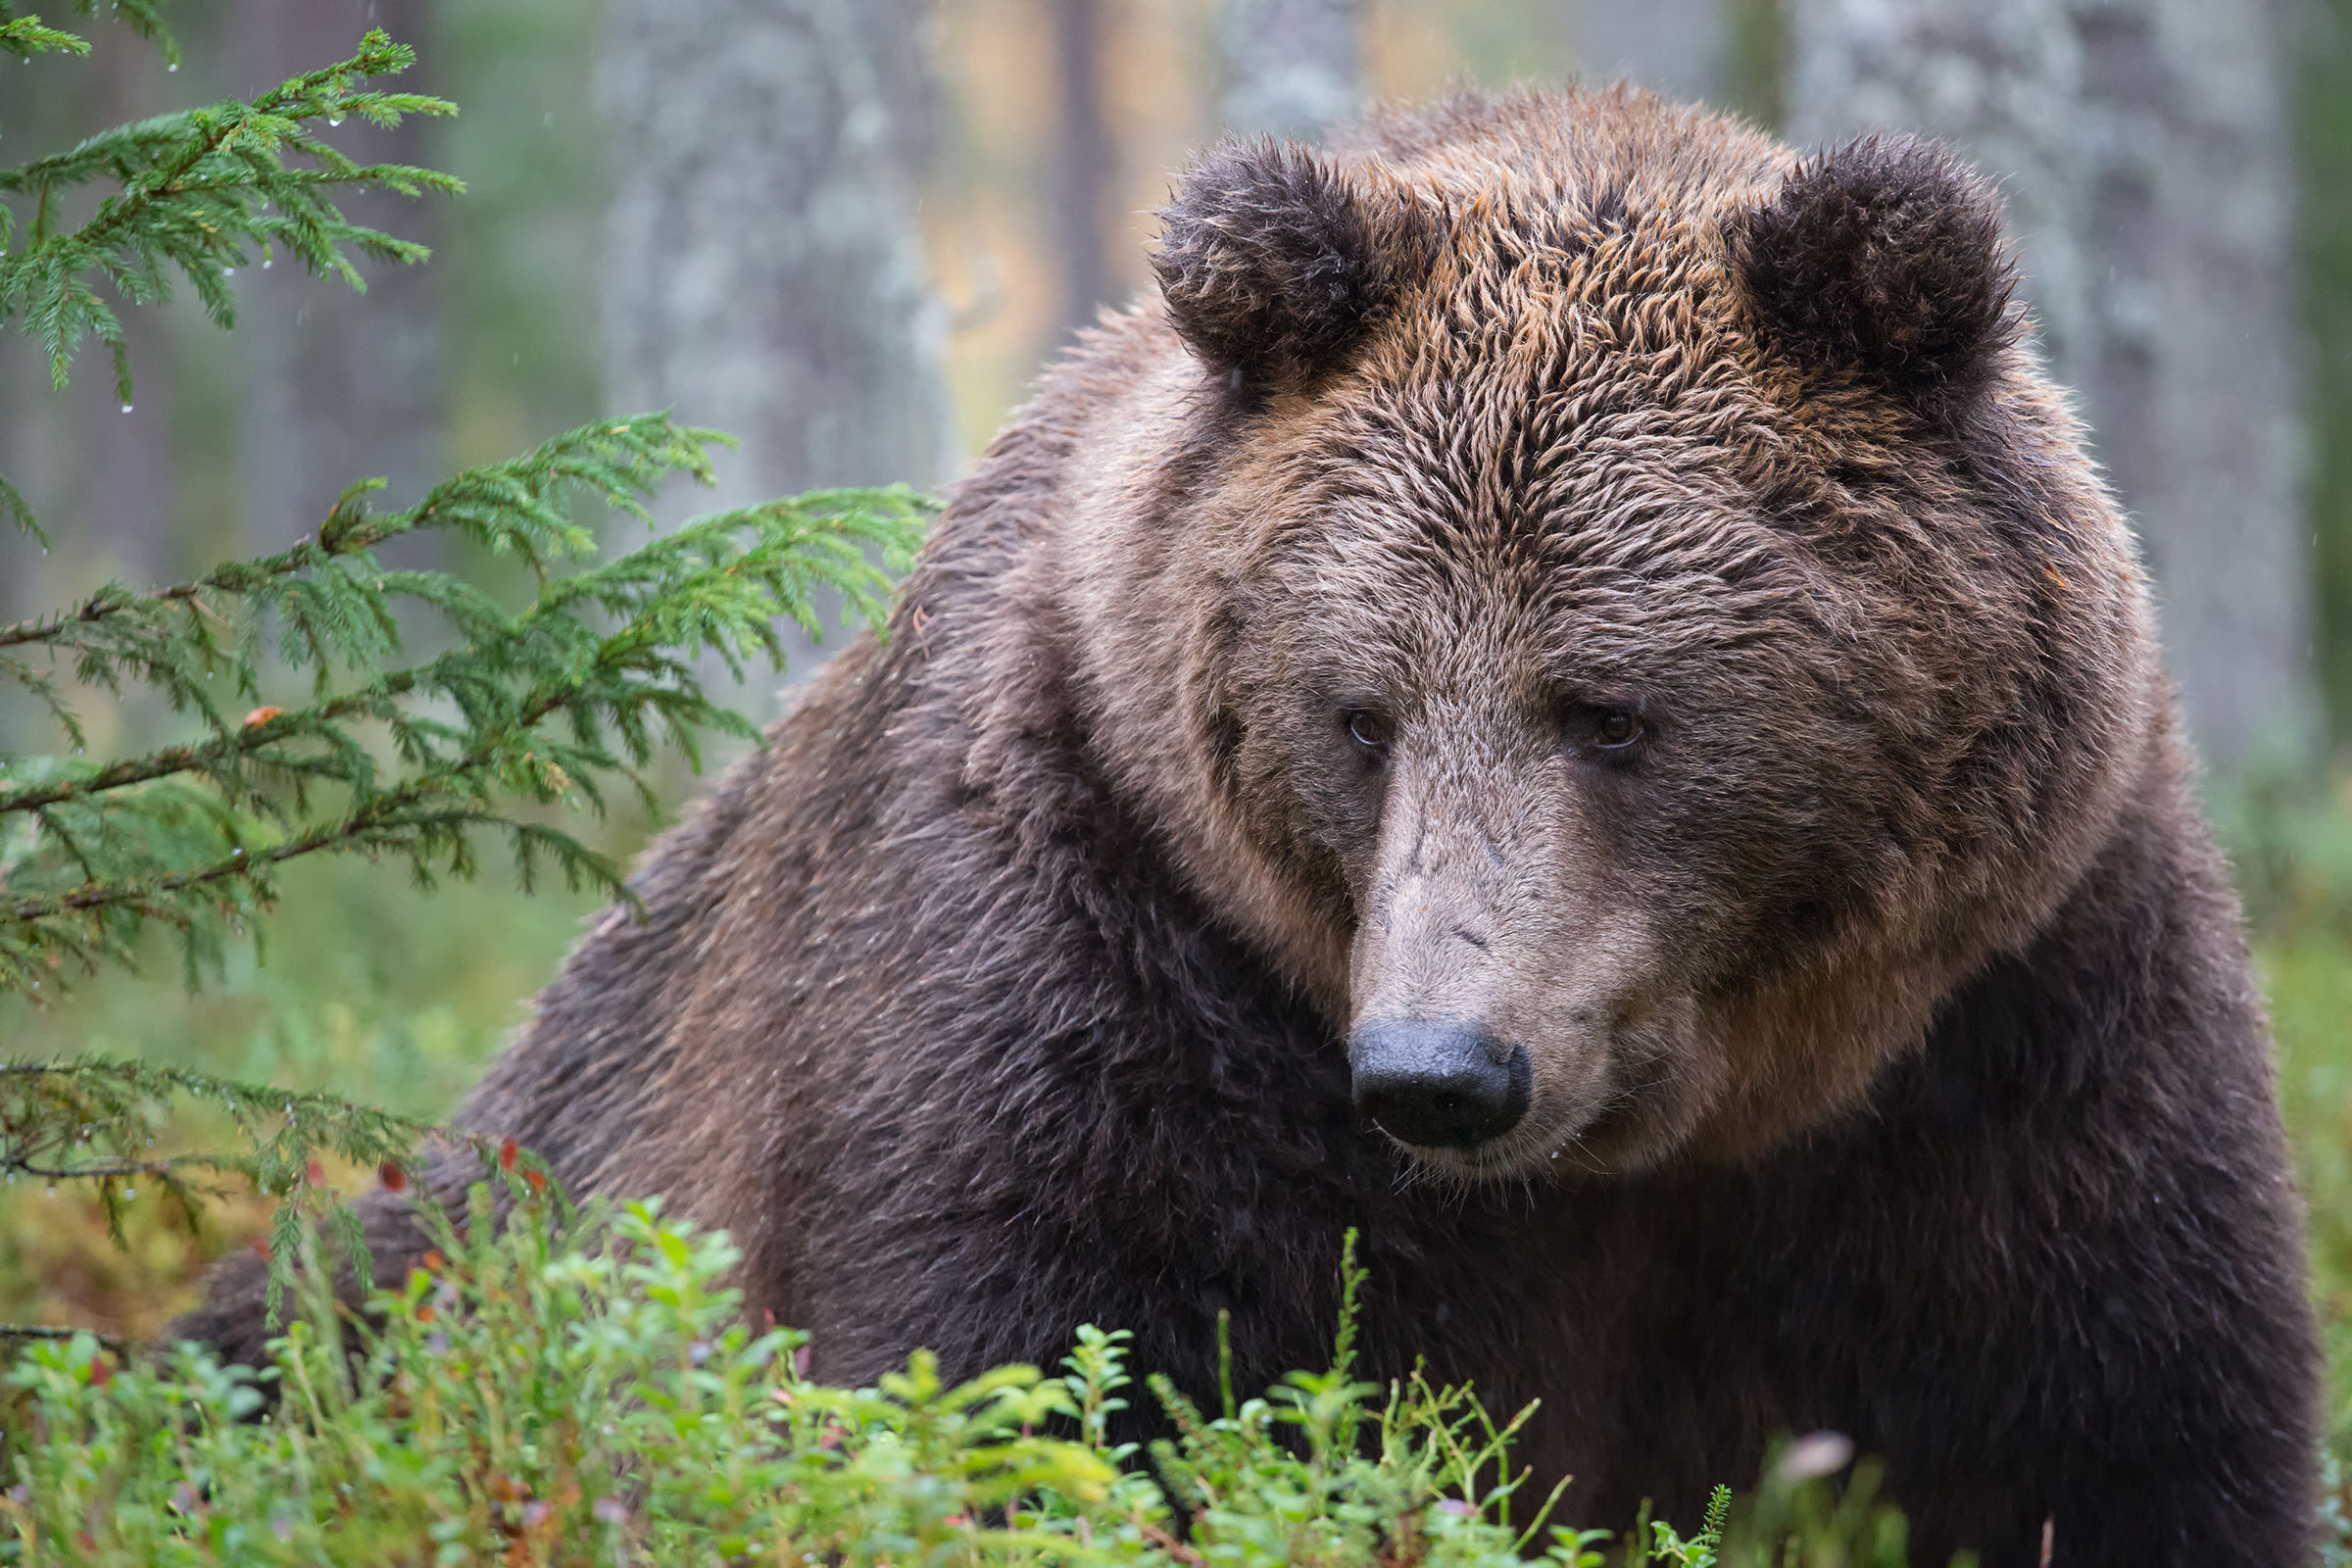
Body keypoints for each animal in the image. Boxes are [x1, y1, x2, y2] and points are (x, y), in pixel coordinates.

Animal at [181, 86, 2322, 1564]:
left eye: (1614, 707)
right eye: (1359, 710)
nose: (1442, 1071)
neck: (1676, 1132)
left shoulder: (2006, 1035)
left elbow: (2120, 1428)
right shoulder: (1098, 971)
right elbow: (1038, 1379)